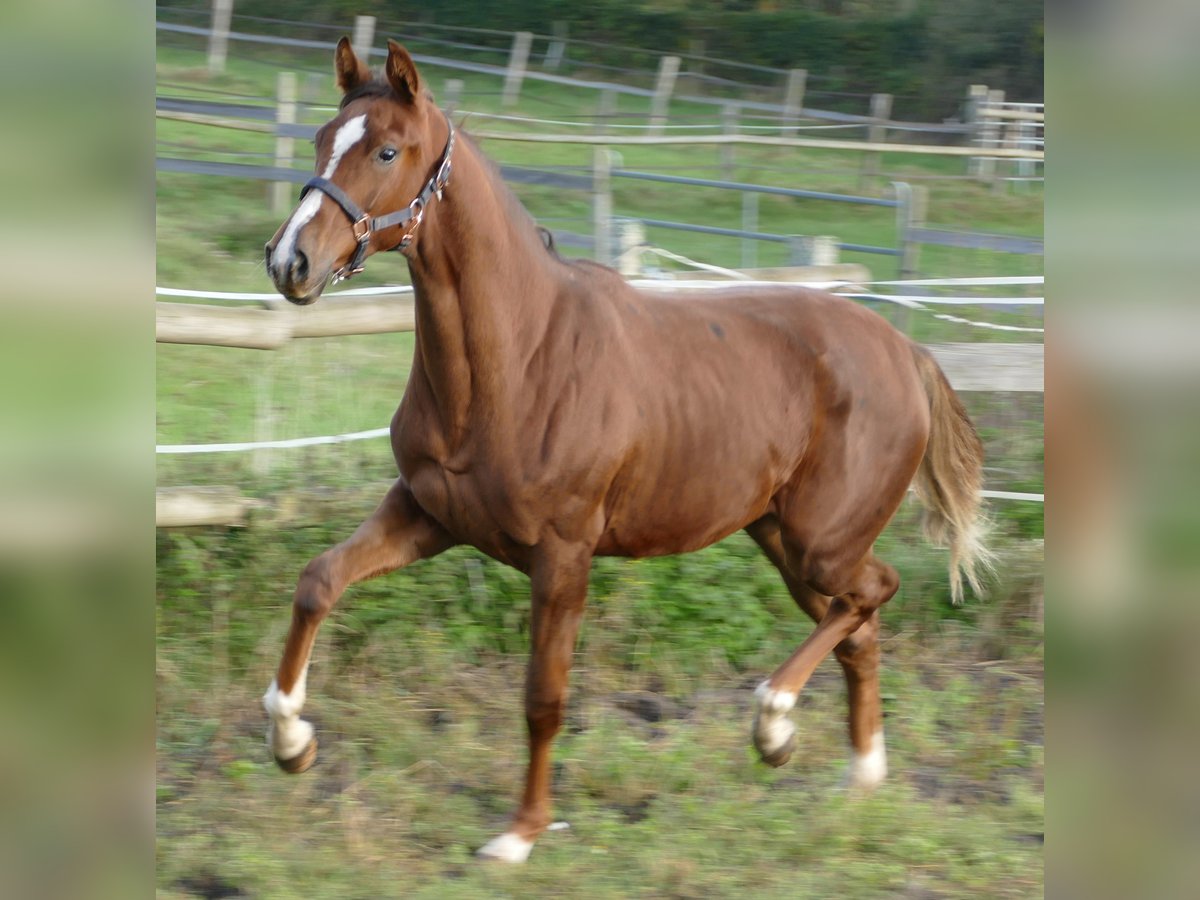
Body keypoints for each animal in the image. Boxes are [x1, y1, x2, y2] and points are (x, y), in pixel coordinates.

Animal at [262, 38, 984, 864]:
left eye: (385, 150)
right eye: (322, 139)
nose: (289, 262)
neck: (519, 359)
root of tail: (905, 350)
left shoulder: (563, 555)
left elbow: (544, 698)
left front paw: (519, 834)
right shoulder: (426, 515)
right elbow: (318, 581)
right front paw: (292, 743)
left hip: (822, 544)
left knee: (874, 593)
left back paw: (773, 722)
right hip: (784, 542)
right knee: (857, 629)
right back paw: (854, 774)